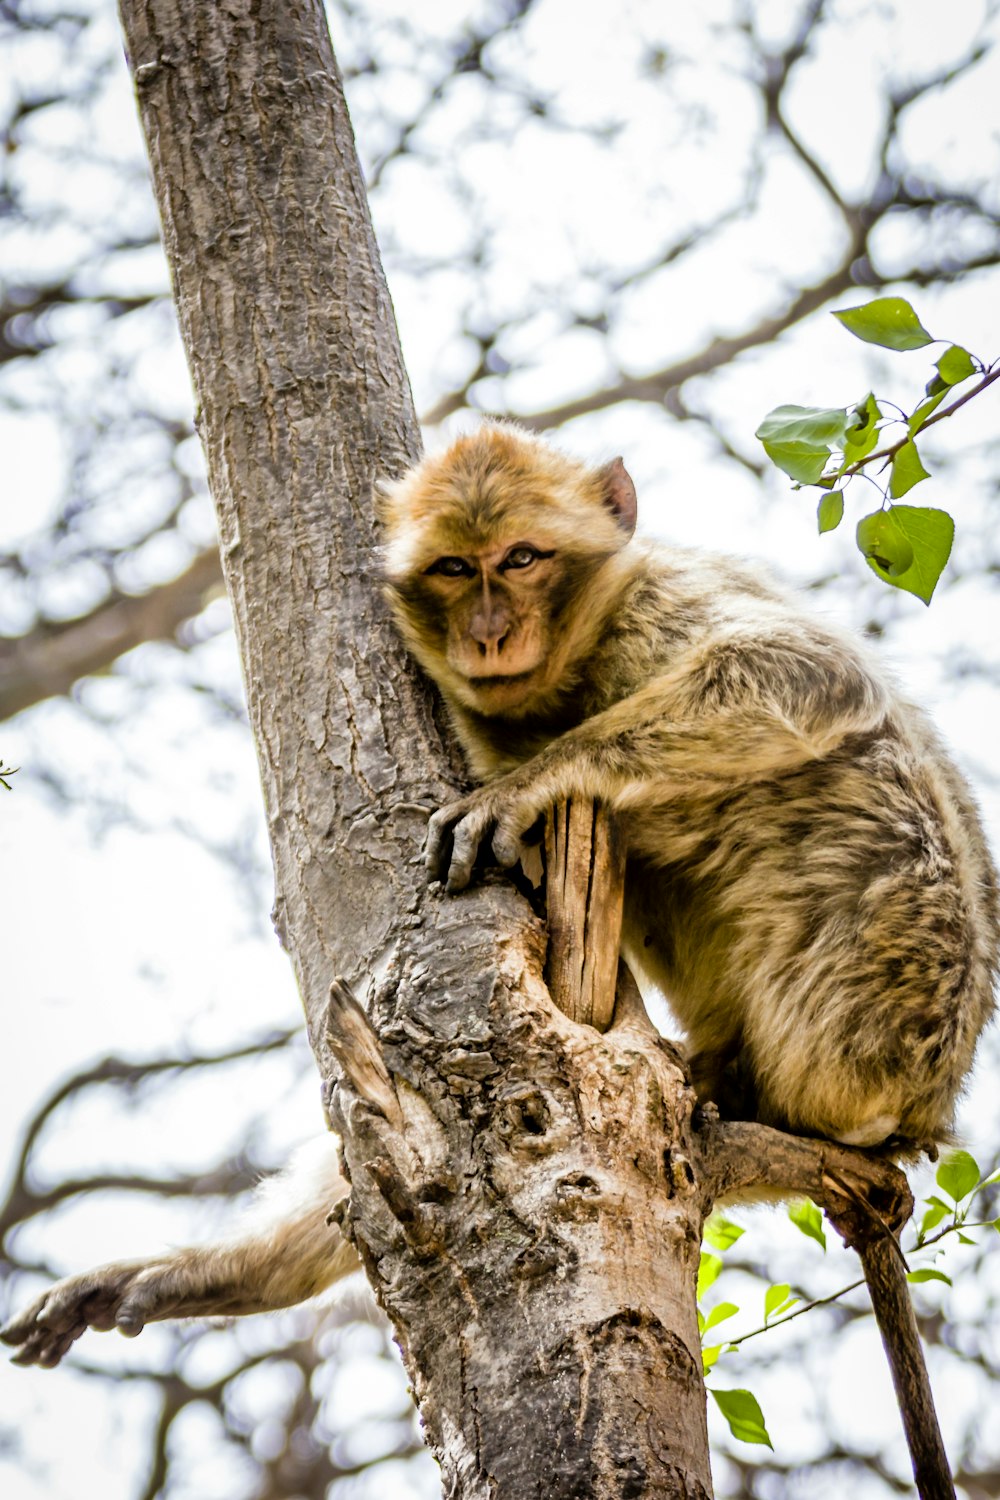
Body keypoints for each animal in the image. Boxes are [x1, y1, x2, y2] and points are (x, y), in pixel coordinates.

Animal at [5, 417, 995, 1368]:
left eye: (522, 557)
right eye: (454, 567)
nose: (487, 632)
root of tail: (925, 1109)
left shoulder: (656, 604)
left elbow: (812, 672)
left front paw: (523, 784)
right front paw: (194, 1270)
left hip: (885, 991)